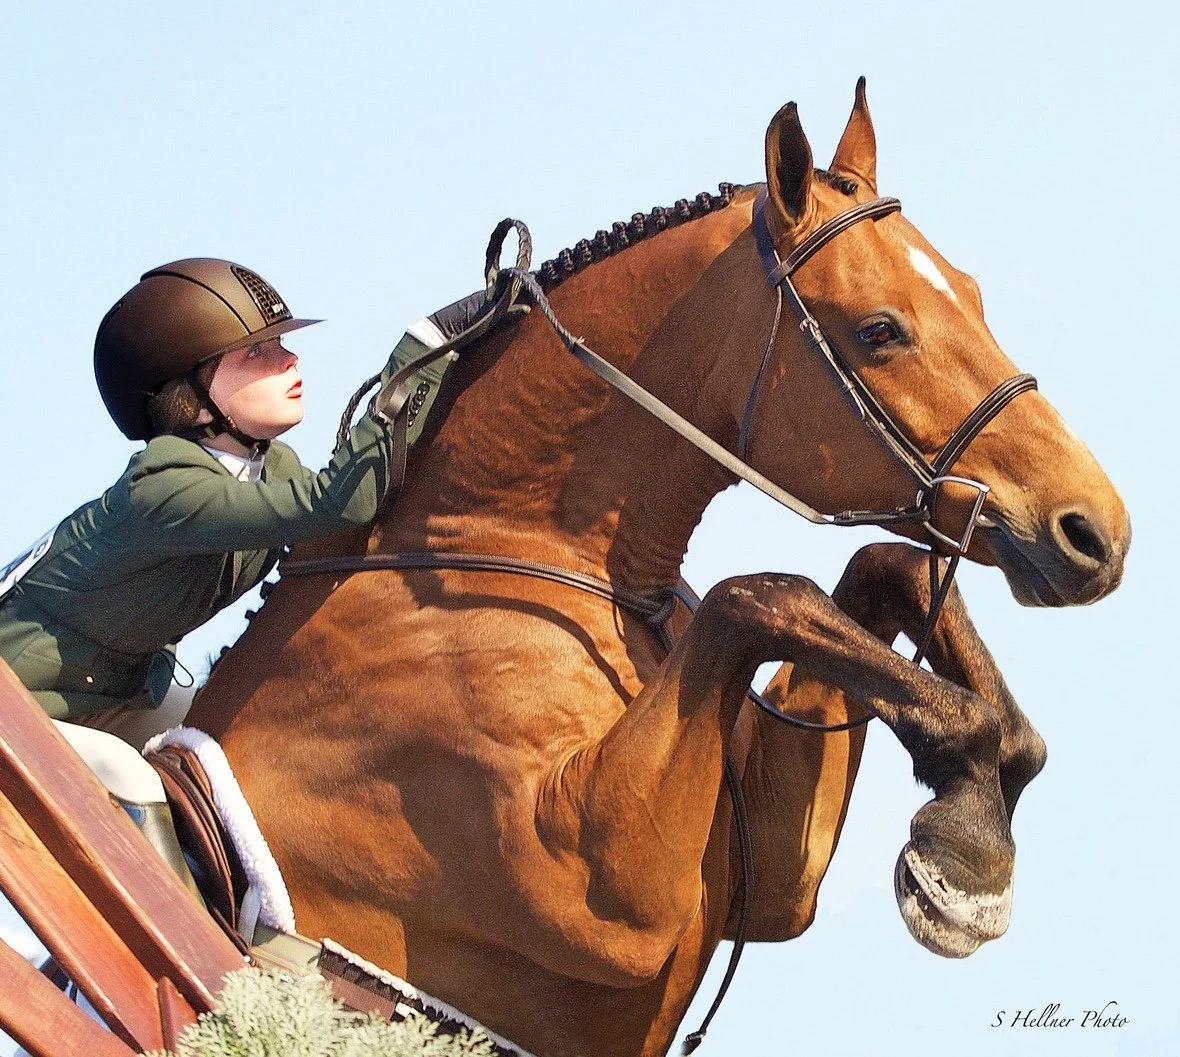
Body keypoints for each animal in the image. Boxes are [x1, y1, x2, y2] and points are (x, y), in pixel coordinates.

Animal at [188, 81, 1130, 1057]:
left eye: (974, 294)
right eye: (878, 330)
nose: (1095, 533)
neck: (503, 552)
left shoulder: (770, 875)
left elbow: (883, 564)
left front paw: (991, 787)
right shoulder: (591, 882)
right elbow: (761, 594)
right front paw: (968, 842)